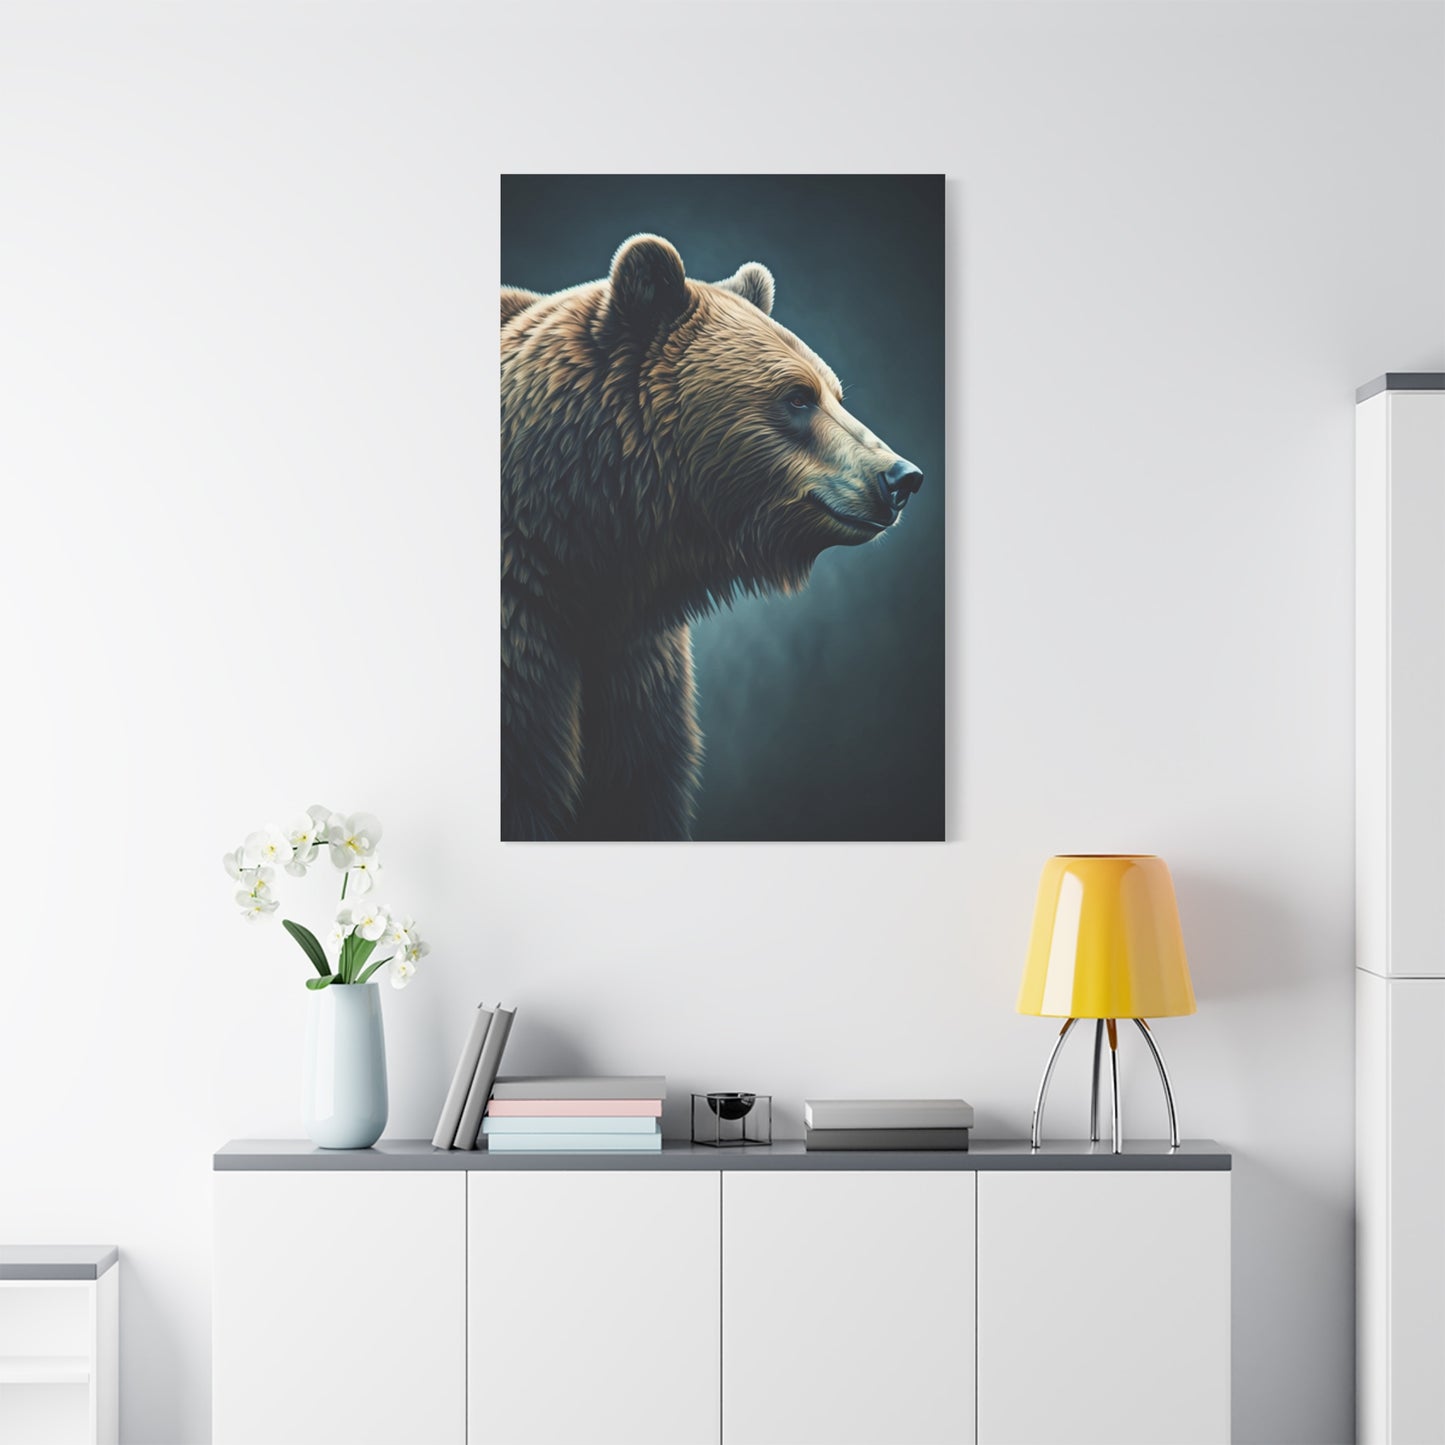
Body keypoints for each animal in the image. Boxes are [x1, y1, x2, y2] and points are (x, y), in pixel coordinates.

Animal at [501, 233, 923, 842]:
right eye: (797, 396)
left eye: (835, 394)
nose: (901, 477)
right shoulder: (524, 639)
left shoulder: (635, 658)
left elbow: (637, 784)